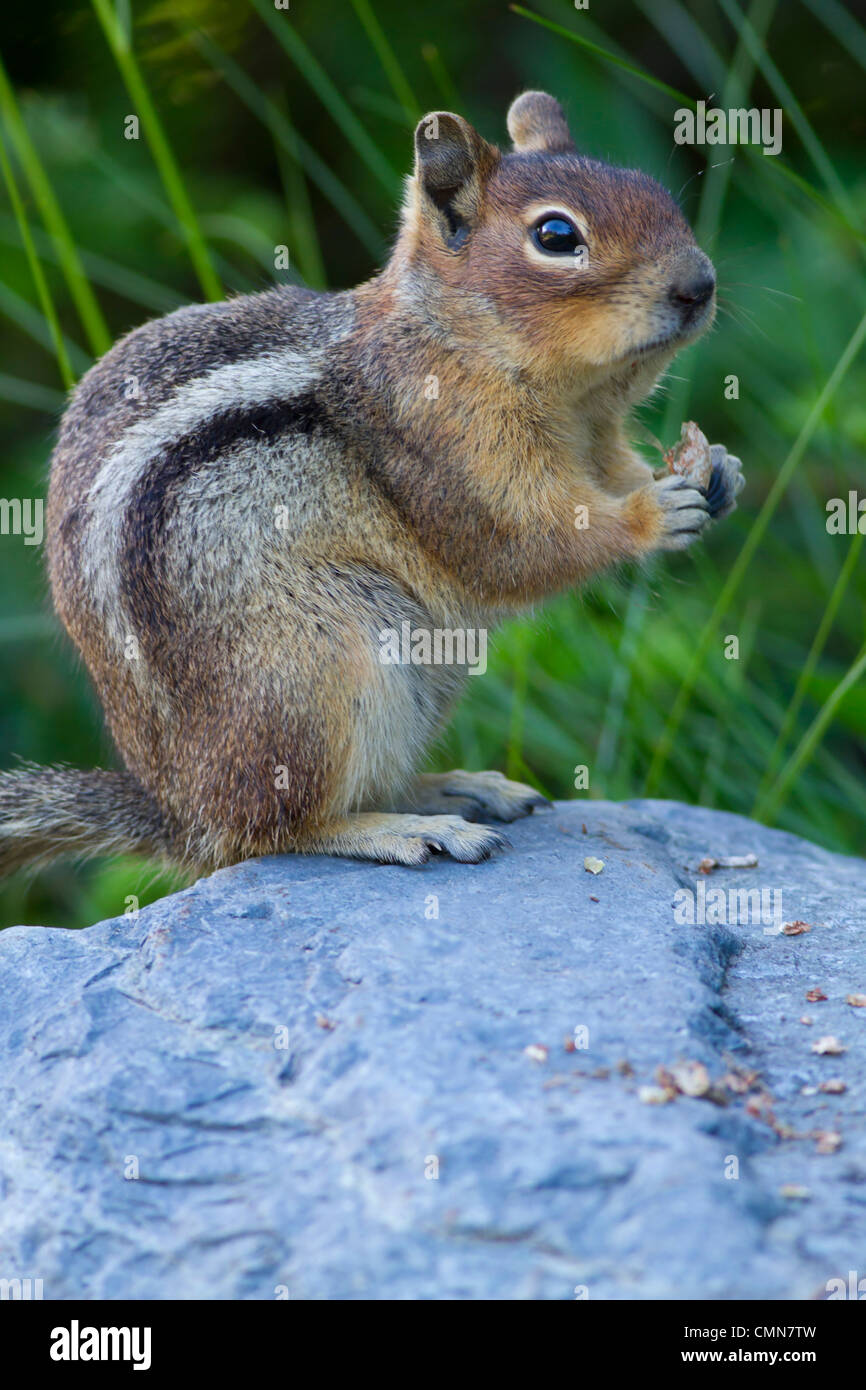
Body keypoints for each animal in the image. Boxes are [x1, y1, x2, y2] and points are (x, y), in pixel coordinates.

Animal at [0, 92, 745, 872]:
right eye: (556, 235)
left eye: (656, 193)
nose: (699, 285)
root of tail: (181, 812)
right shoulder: (449, 451)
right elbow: (519, 546)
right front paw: (651, 515)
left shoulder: (595, 441)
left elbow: (613, 474)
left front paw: (716, 468)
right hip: (324, 663)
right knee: (276, 830)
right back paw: (406, 829)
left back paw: (456, 789)